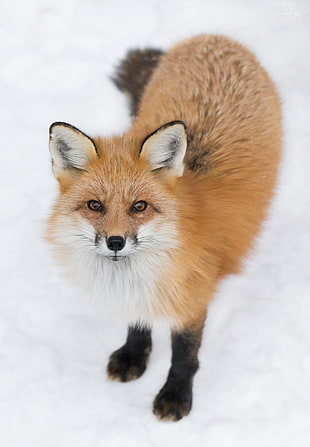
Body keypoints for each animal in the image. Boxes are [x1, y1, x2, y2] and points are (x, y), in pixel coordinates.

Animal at [46, 34, 280, 420]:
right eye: (95, 206)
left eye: (139, 206)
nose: (115, 242)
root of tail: (215, 38)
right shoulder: (141, 296)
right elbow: (138, 323)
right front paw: (133, 356)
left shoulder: (193, 299)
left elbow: (184, 356)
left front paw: (175, 395)